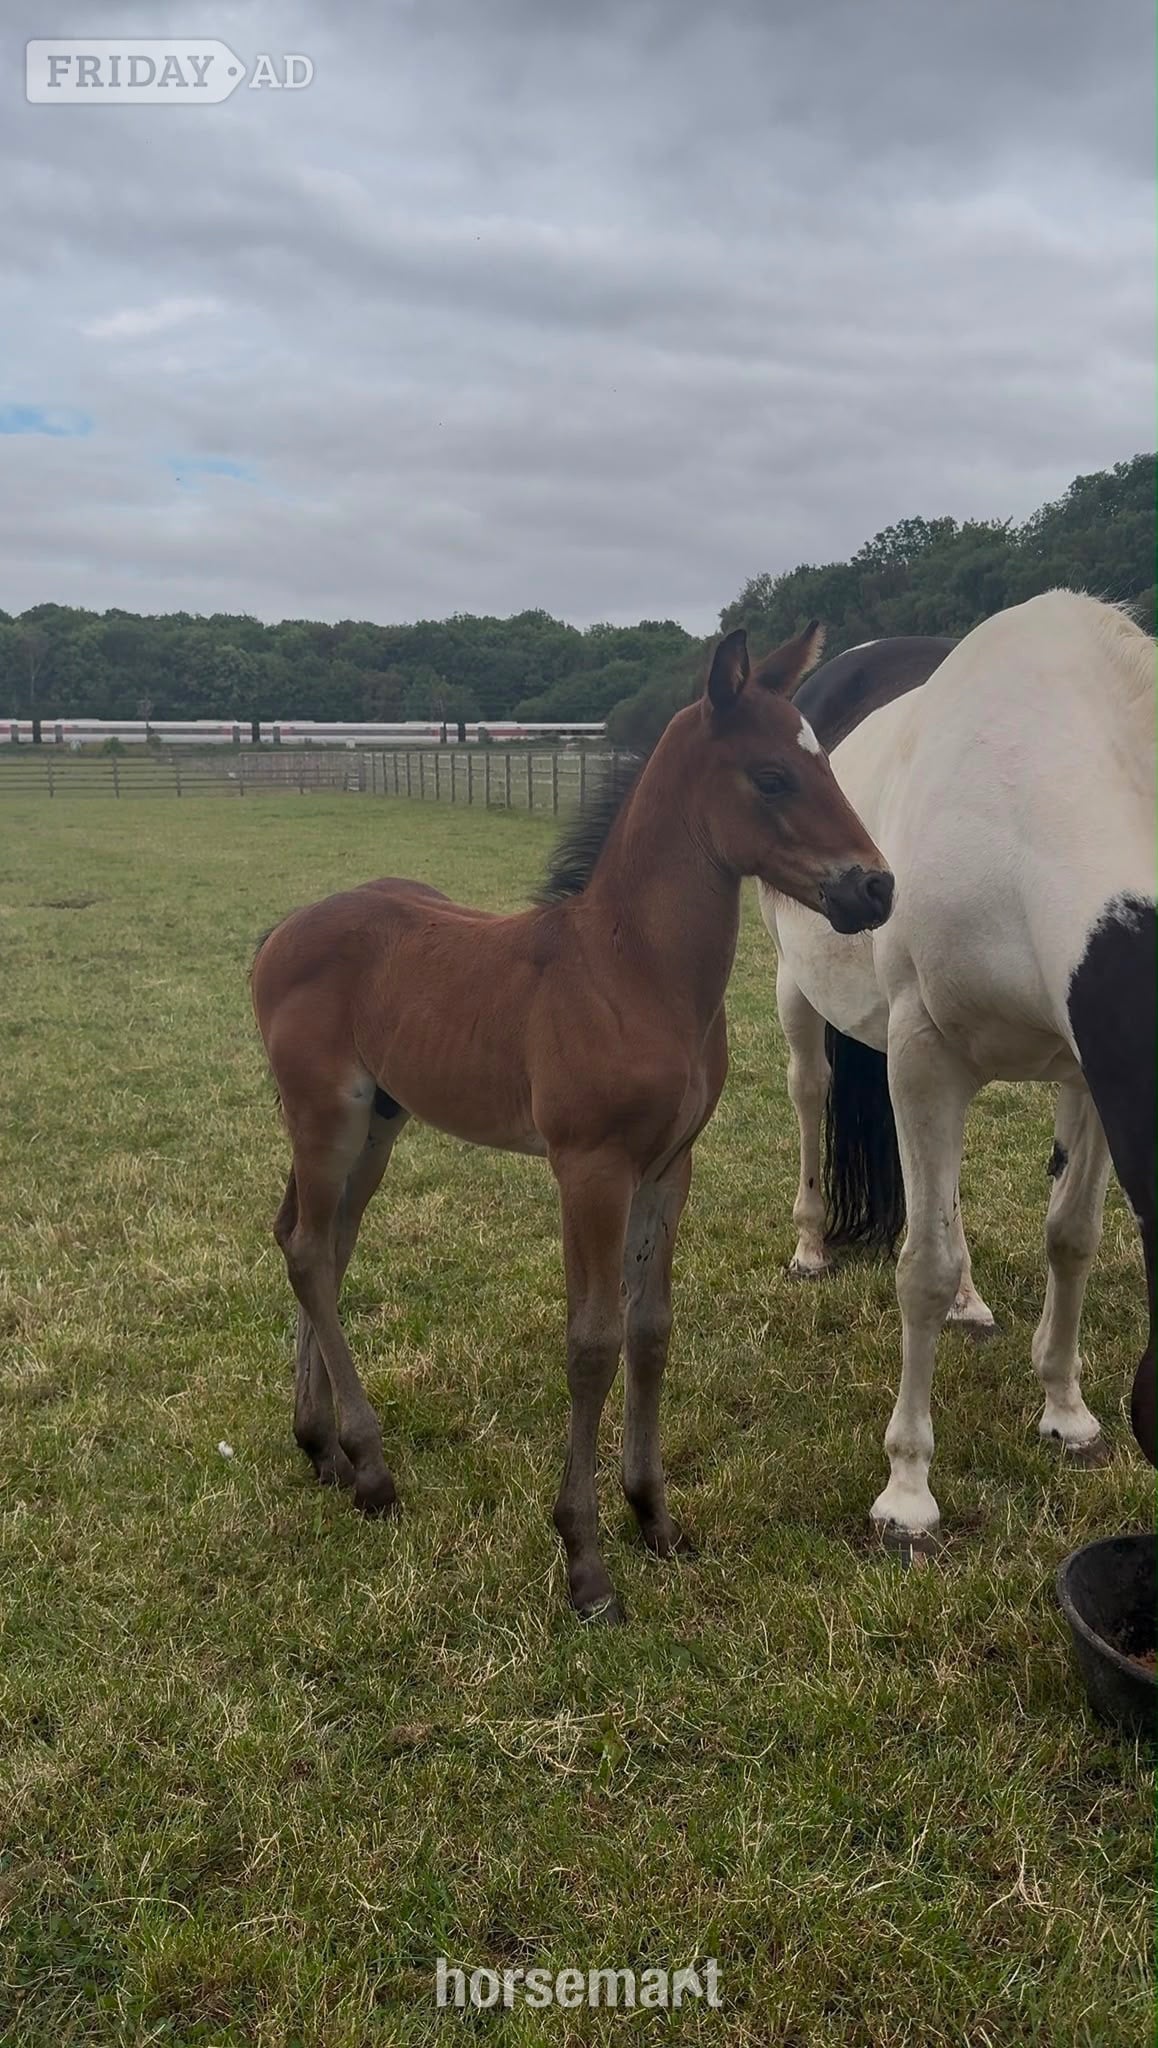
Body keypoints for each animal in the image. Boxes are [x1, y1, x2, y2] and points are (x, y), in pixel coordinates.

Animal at [251, 621, 896, 1622]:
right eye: (772, 777)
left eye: (822, 762)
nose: (875, 889)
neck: (631, 971)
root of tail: (279, 934)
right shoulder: (589, 1168)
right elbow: (592, 1342)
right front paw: (586, 1562)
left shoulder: (669, 1166)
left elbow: (651, 1327)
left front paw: (654, 1517)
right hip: (328, 1119)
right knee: (312, 1253)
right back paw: (371, 1468)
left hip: (378, 1127)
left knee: (315, 1243)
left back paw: (322, 1447)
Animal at [761, 592, 1156, 1536]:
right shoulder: (924, 1057)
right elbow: (922, 1270)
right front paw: (907, 1492)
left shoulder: (1088, 1078)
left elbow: (1071, 1238)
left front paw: (1066, 1413)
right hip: (801, 991)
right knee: (810, 1093)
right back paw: (811, 1247)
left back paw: (976, 1305)